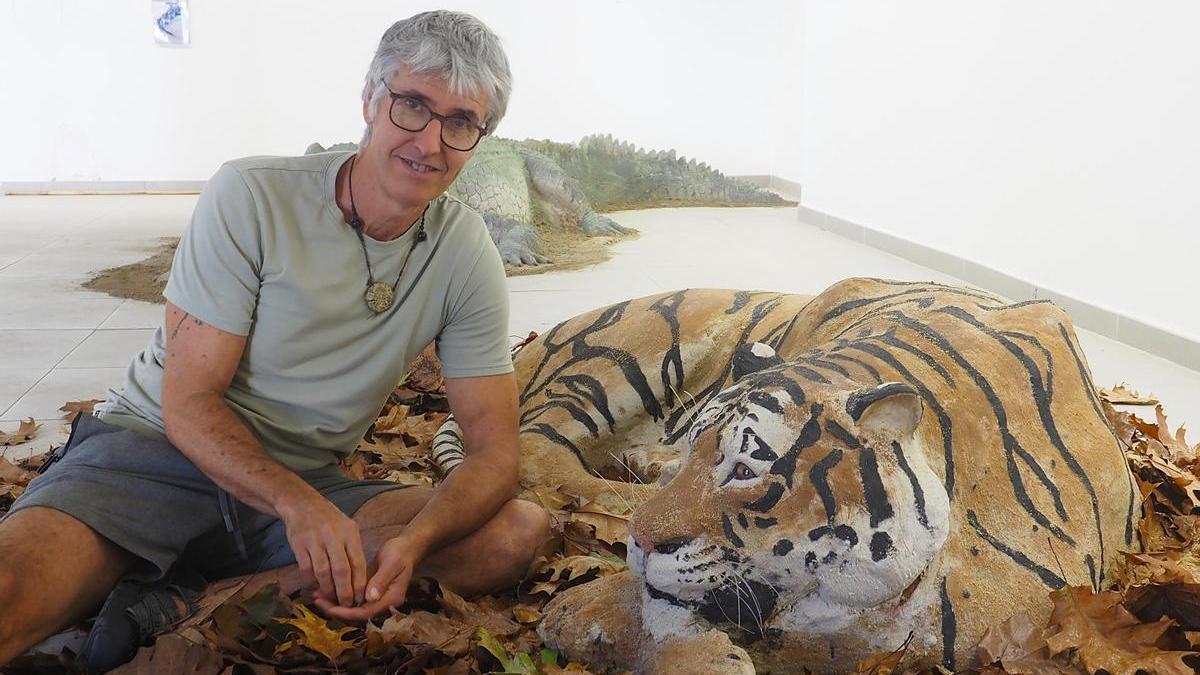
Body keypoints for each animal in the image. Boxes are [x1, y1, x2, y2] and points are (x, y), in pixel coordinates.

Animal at [433, 278, 1138, 673]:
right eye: (700, 454)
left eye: (748, 468)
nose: (639, 543)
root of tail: (530, 343)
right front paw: (597, 617)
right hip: (628, 345)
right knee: (537, 449)